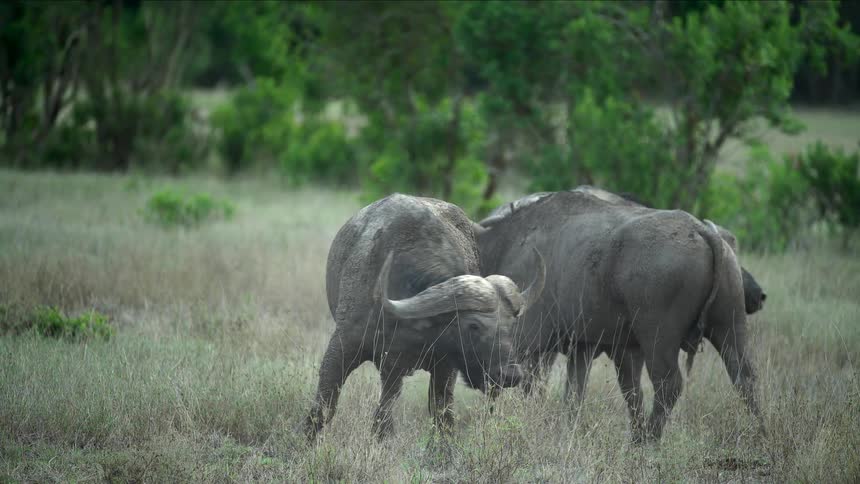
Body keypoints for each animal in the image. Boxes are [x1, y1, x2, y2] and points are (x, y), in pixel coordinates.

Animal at [305, 194, 546, 440]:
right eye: (473, 325)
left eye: (511, 325)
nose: (510, 374)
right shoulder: (342, 348)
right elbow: (323, 409)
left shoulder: (444, 367)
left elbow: (442, 416)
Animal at [477, 189, 762, 442]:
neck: (506, 243)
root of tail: (699, 230)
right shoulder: (584, 348)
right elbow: (575, 395)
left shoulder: (528, 346)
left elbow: (515, 390)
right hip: (729, 326)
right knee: (745, 378)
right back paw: (759, 435)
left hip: (658, 340)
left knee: (668, 384)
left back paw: (649, 440)